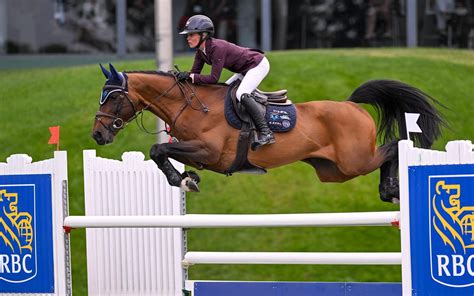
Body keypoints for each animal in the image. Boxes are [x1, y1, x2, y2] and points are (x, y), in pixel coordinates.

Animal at [92, 64, 444, 204]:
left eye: (112, 98)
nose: (97, 135)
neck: (192, 106)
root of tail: (350, 104)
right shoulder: (198, 152)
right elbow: (161, 153)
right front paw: (186, 179)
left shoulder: (210, 153)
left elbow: (158, 151)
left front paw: (184, 180)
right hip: (335, 171)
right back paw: (390, 190)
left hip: (353, 160)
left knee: (393, 146)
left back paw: (390, 190)